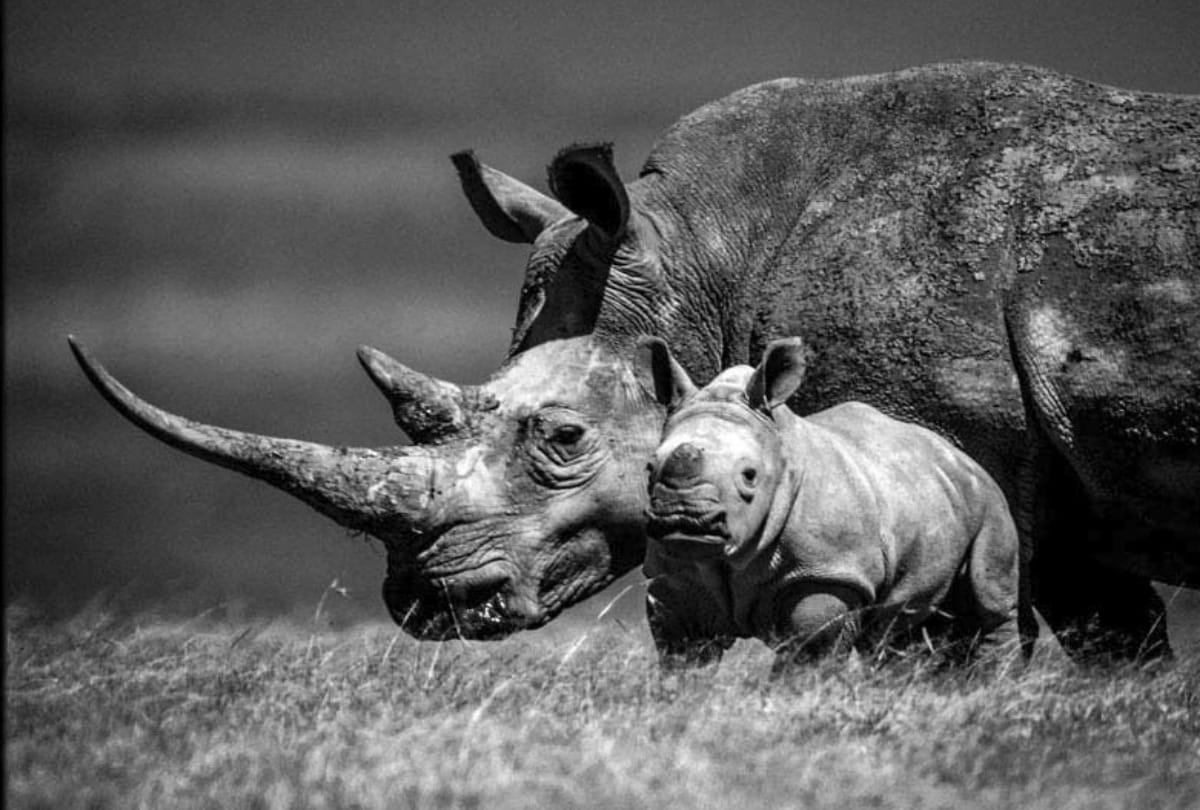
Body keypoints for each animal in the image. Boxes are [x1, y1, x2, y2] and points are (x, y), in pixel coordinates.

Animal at [641, 337, 1020, 668]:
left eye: (749, 476)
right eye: (648, 468)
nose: (683, 518)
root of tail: (961, 456)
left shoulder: (830, 573)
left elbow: (808, 653)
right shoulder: (675, 578)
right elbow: (685, 655)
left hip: (990, 499)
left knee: (990, 601)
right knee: (896, 633)